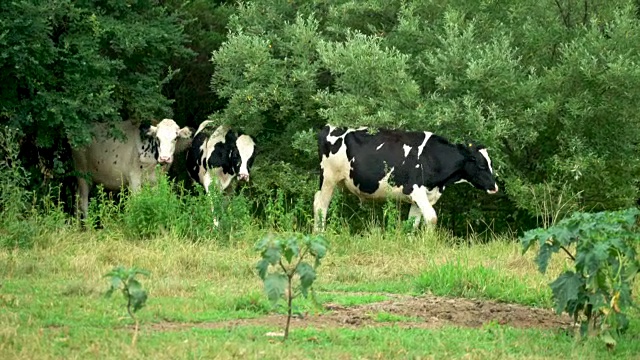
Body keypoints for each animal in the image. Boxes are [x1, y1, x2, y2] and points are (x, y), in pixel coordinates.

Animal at [312, 125, 500, 232]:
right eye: (481, 165)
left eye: (490, 163)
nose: (494, 186)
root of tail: (330, 127)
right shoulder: (416, 190)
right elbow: (432, 218)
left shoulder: (420, 198)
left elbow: (413, 223)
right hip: (328, 178)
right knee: (321, 206)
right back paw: (319, 234)